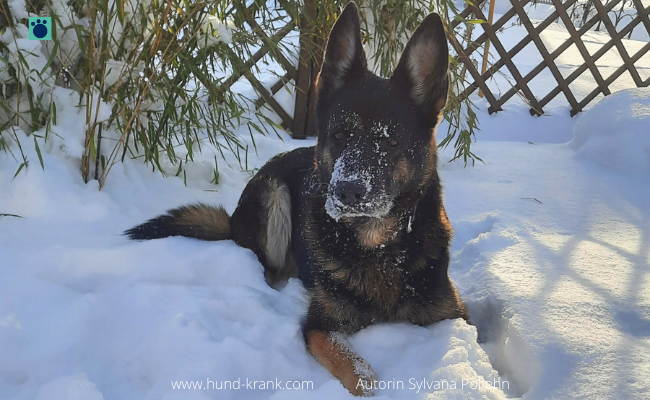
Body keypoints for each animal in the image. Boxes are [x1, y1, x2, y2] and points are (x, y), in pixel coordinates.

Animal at [124, 2, 466, 396]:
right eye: (339, 134)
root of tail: (233, 219)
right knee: (266, 266)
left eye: (392, 142)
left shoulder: (452, 315)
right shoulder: (319, 327)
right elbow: (360, 373)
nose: (347, 191)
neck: (378, 248)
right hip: (274, 194)